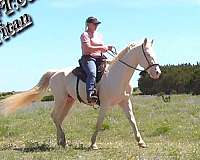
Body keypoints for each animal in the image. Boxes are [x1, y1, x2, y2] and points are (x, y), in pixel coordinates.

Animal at [0, 38, 161, 150]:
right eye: (147, 54)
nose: (157, 72)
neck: (117, 75)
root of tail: (55, 72)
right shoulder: (105, 105)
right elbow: (99, 123)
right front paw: (93, 144)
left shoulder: (124, 102)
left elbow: (132, 121)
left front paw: (141, 142)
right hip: (60, 99)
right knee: (54, 116)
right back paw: (63, 141)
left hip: (69, 101)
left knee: (59, 118)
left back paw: (61, 141)